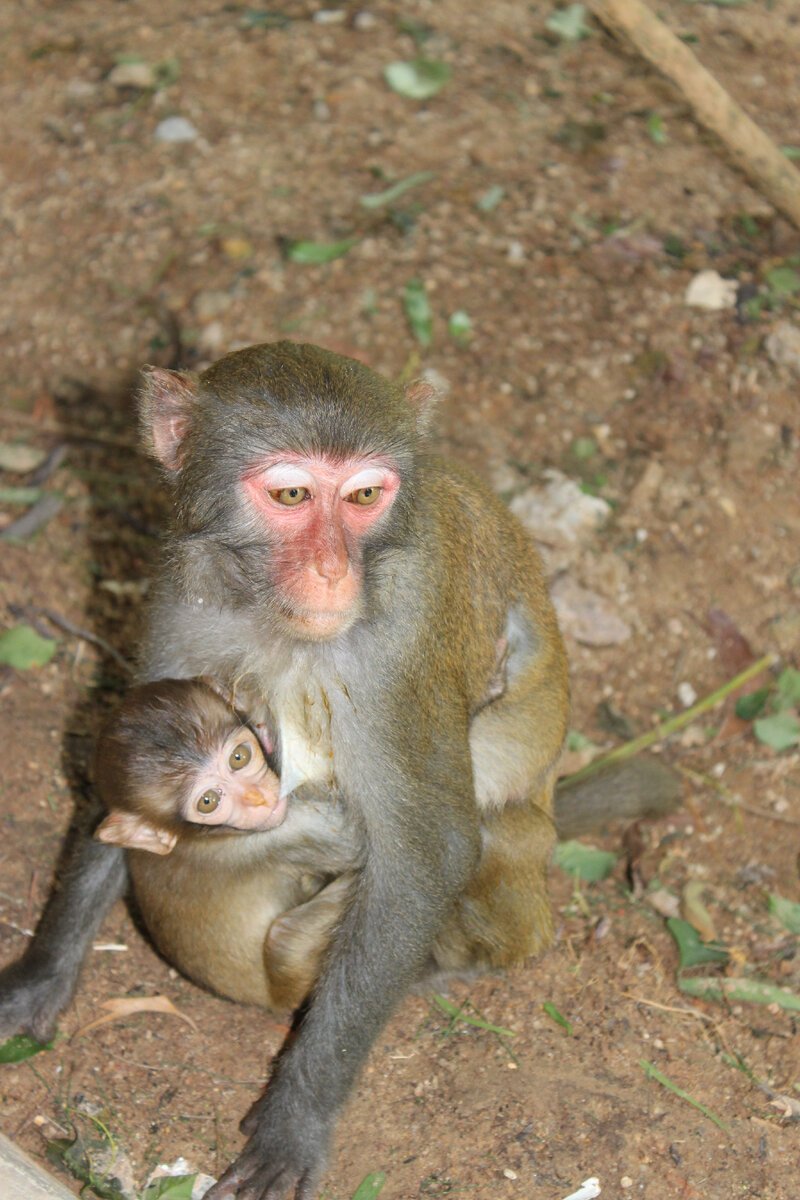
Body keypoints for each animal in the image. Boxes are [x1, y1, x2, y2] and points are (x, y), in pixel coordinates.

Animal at [0, 345, 681, 1200]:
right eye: (292, 494)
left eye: (363, 496)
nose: (331, 571)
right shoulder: (180, 583)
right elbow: (118, 764)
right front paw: (41, 976)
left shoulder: (402, 642)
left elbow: (427, 853)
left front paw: (297, 1115)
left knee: (483, 841)